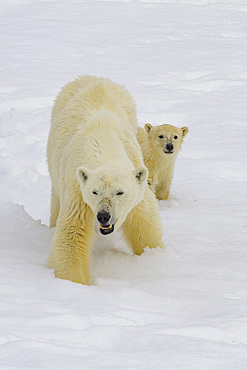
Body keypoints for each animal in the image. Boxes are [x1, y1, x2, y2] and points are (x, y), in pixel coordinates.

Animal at [46, 74, 163, 284]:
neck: (101, 141)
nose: (103, 215)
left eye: (120, 192)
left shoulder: (134, 169)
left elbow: (144, 219)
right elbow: (72, 233)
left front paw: (153, 257)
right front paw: (74, 282)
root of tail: (91, 77)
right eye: (95, 192)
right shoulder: (78, 190)